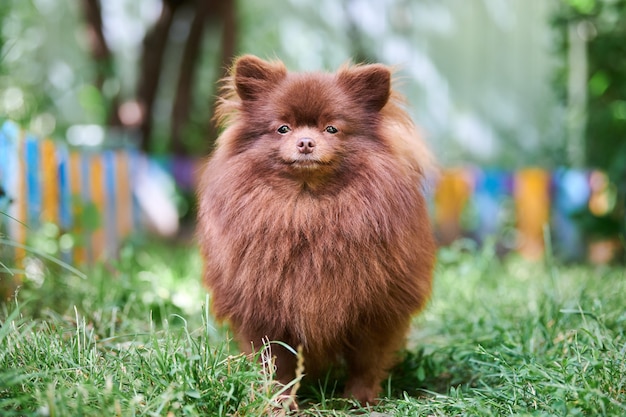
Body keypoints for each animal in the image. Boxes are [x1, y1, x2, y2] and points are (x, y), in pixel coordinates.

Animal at [197, 53, 432, 404]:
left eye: (332, 128)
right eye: (282, 128)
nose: (306, 141)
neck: (307, 208)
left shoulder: (375, 312)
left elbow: (366, 362)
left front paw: (359, 400)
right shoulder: (265, 311)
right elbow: (277, 363)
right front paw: (279, 402)